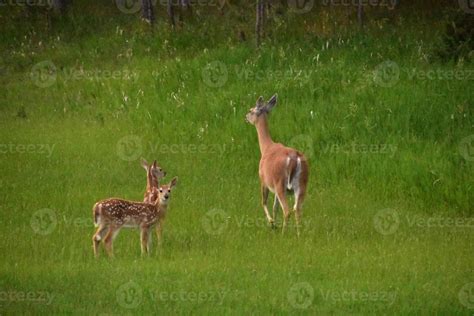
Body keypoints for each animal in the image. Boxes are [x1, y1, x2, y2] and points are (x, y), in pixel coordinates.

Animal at [246, 95, 310, 236]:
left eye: (251, 110)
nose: (245, 116)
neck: (266, 148)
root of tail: (294, 158)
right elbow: (275, 207)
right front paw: (274, 224)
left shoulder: (264, 179)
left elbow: (264, 202)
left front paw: (272, 223)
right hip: (302, 183)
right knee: (297, 208)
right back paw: (299, 235)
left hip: (281, 183)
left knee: (287, 210)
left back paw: (283, 234)